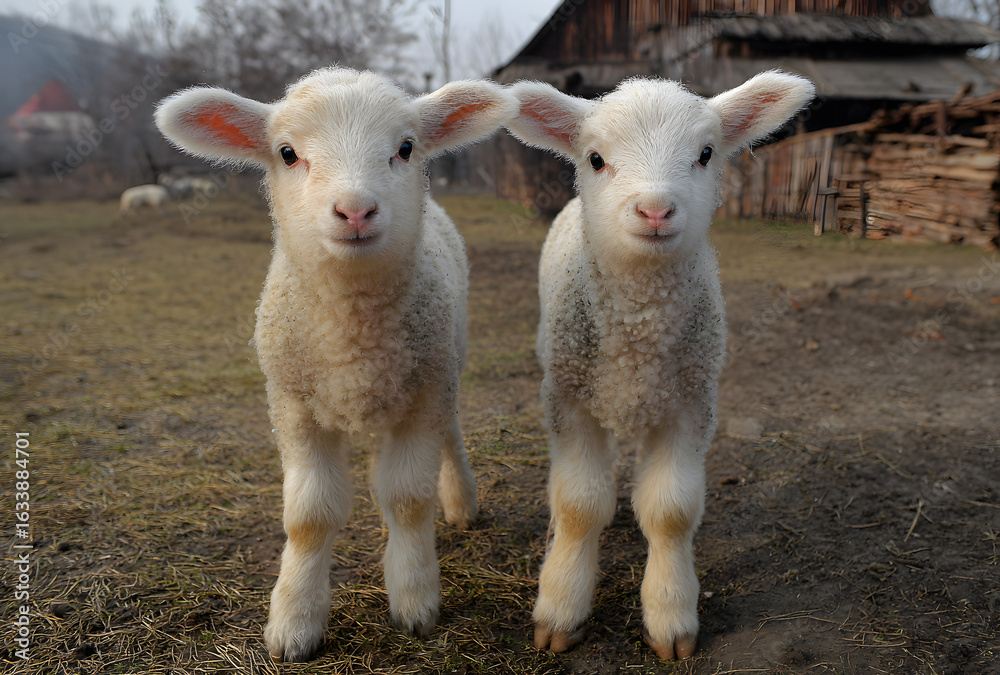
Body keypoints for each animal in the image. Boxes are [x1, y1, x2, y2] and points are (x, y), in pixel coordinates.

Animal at [154, 67, 517, 662]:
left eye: (406, 147)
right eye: (287, 153)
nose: (355, 211)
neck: (353, 341)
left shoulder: (422, 397)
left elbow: (408, 499)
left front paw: (415, 598)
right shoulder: (294, 406)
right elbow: (309, 517)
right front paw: (294, 620)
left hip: (448, 360)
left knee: (451, 433)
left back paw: (461, 499)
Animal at [505, 71, 815, 660]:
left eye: (706, 153)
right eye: (596, 158)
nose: (654, 211)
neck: (639, 339)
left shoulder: (690, 404)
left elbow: (670, 512)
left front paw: (670, 617)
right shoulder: (569, 400)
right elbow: (579, 505)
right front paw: (561, 608)